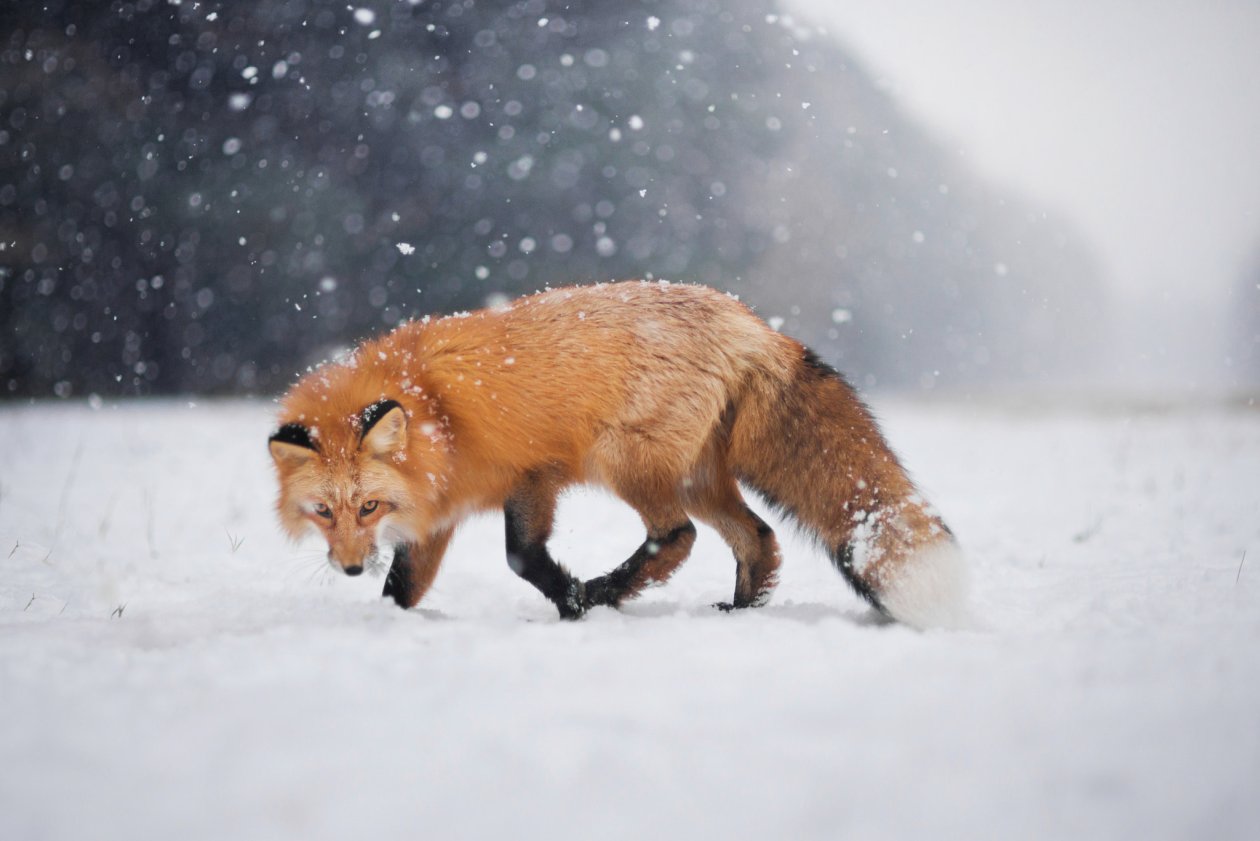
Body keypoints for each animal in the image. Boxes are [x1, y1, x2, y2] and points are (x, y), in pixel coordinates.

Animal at [268, 280, 970, 628]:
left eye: (368, 506)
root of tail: (753, 324)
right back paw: (741, 612)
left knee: (679, 536)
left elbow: (521, 556)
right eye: (325, 512)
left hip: (625, 462)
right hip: (696, 478)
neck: (436, 414)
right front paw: (390, 626)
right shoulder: (439, 512)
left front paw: (573, 601)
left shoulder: (533, 475)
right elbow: (402, 588)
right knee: (759, 539)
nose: (348, 568)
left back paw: (609, 591)